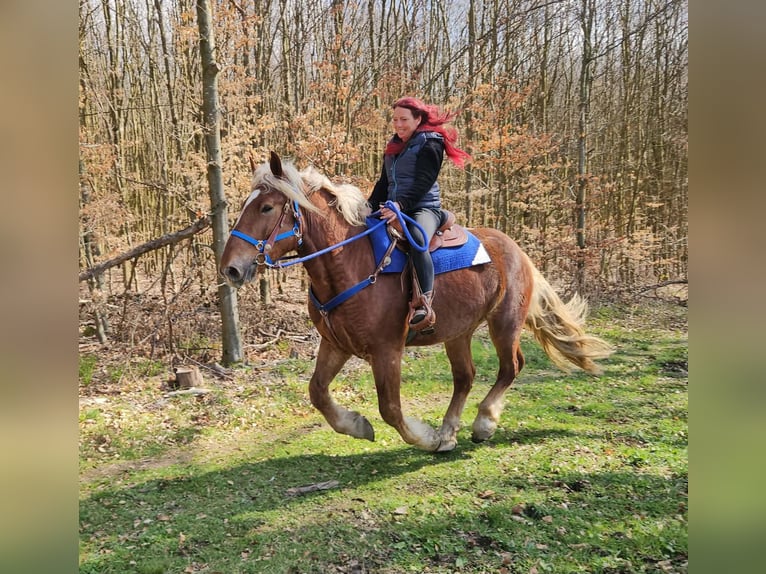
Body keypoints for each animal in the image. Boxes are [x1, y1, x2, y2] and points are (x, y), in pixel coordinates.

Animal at [220, 152, 613, 452]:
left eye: (267, 207)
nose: (231, 268)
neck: (350, 262)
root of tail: (517, 250)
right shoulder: (335, 344)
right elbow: (317, 391)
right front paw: (357, 425)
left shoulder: (387, 350)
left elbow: (391, 409)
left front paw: (425, 437)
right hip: (458, 332)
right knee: (465, 377)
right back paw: (450, 430)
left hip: (505, 323)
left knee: (510, 367)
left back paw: (483, 422)